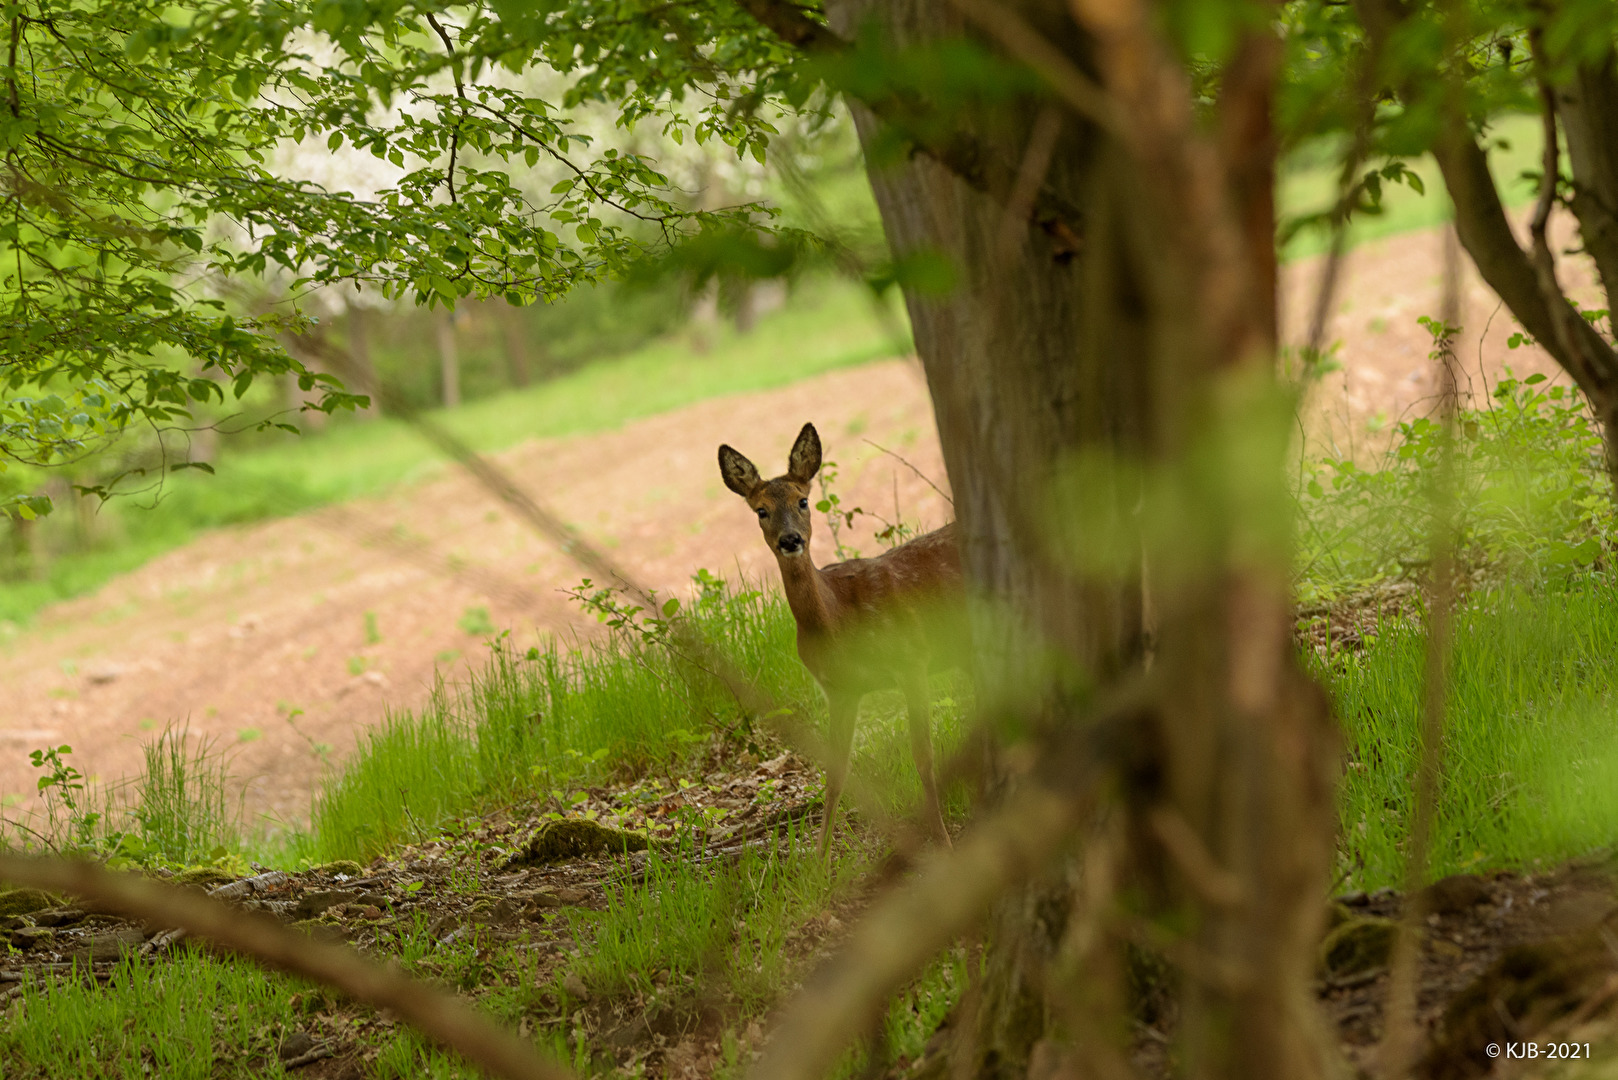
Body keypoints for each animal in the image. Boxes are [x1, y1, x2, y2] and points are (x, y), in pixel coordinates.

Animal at [718, 420, 957, 854]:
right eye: (761, 511)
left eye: (803, 501)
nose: (791, 540)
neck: (836, 616)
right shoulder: (841, 689)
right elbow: (835, 774)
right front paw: (820, 861)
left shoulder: (912, 658)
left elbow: (924, 756)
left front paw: (945, 844)